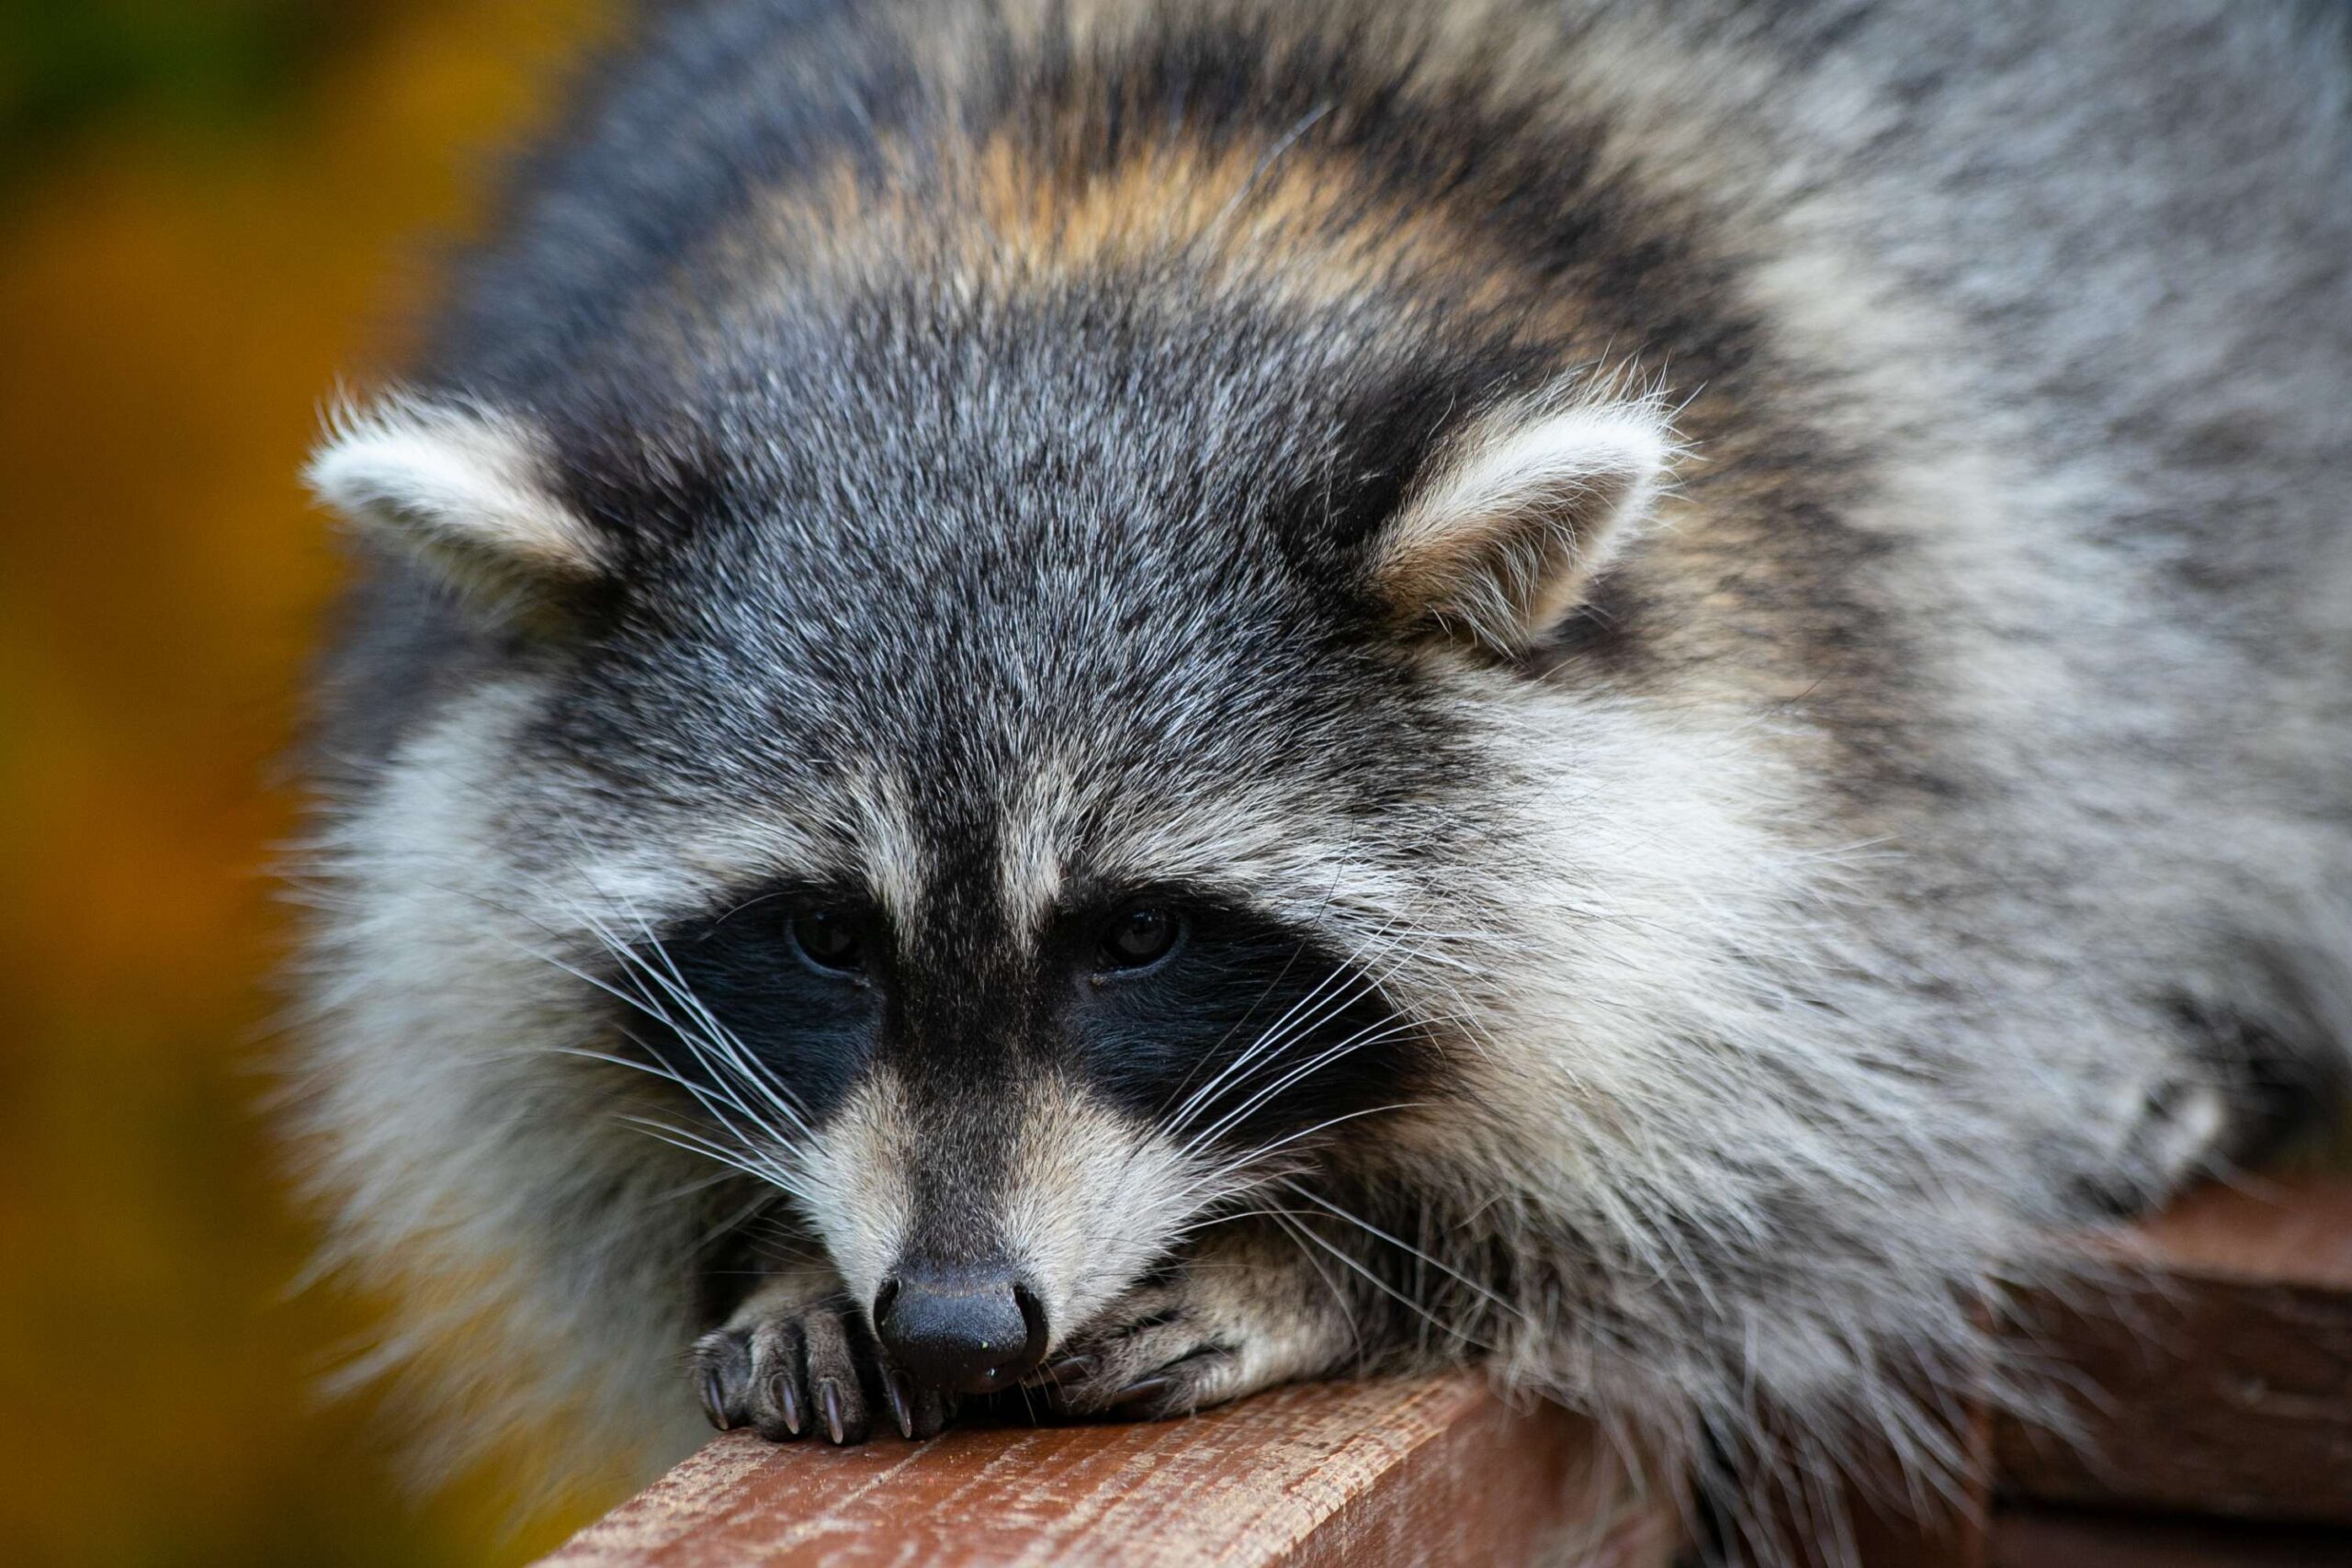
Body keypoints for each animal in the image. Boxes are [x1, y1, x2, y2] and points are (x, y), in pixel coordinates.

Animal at [292, 0, 2352, 1554]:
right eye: (819, 935)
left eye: (1135, 936)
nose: (952, 1318)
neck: (1048, 231)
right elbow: (558, 1128)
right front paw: (781, 1257)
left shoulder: (1889, 686)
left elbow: (1768, 1173)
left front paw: (1329, 1258)